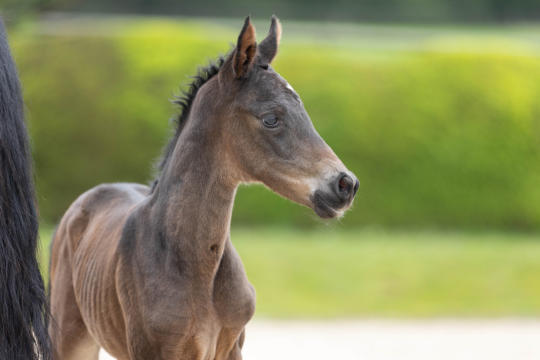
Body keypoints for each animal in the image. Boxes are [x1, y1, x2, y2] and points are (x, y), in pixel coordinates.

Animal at [49, 16, 358, 360]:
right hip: (70, 338)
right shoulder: (152, 350)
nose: (346, 184)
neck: (197, 267)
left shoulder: (231, 347)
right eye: (270, 119)